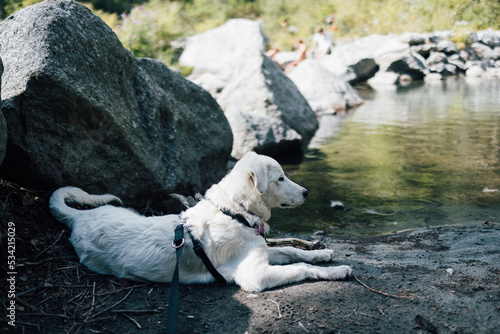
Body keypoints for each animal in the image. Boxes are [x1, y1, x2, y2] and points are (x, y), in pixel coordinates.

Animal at [49, 152, 352, 292]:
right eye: (280, 178)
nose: (306, 192)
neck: (235, 211)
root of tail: (80, 216)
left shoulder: (261, 249)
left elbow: (291, 250)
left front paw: (323, 254)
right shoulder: (254, 275)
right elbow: (300, 267)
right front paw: (338, 271)